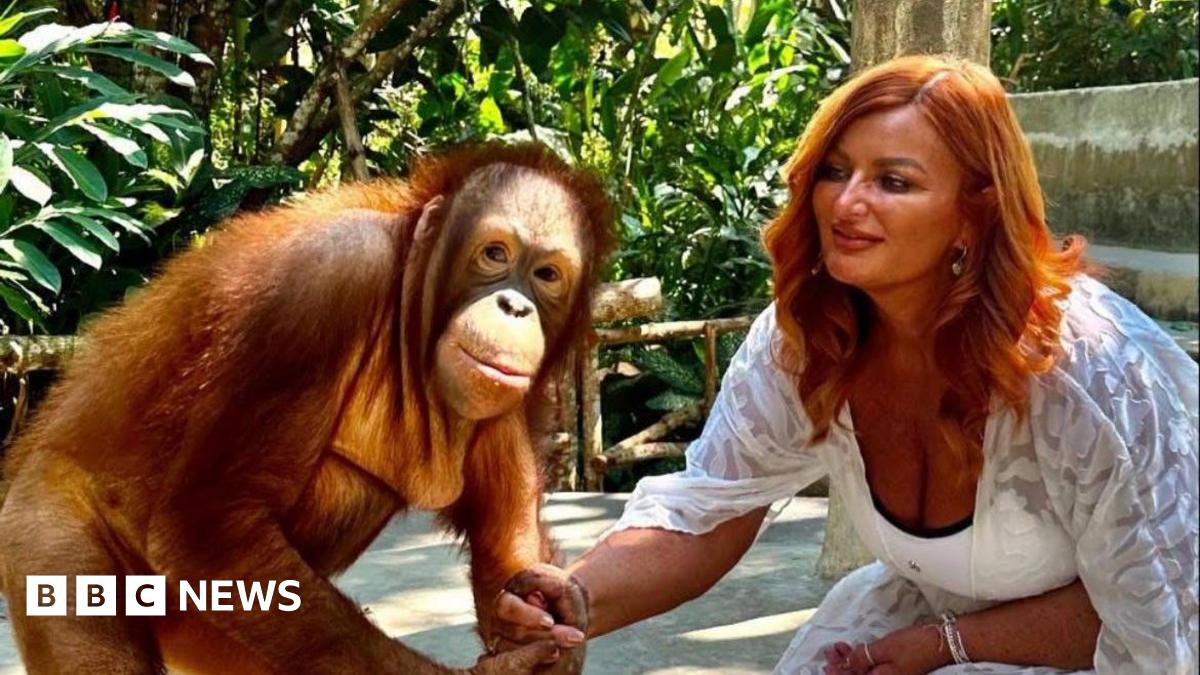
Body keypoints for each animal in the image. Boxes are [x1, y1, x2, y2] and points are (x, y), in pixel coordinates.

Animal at [0, 142, 613, 674]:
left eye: (547, 275)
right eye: (494, 254)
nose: (514, 306)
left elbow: (502, 547)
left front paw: (549, 612)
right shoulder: (322, 284)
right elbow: (207, 527)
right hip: (47, 529)